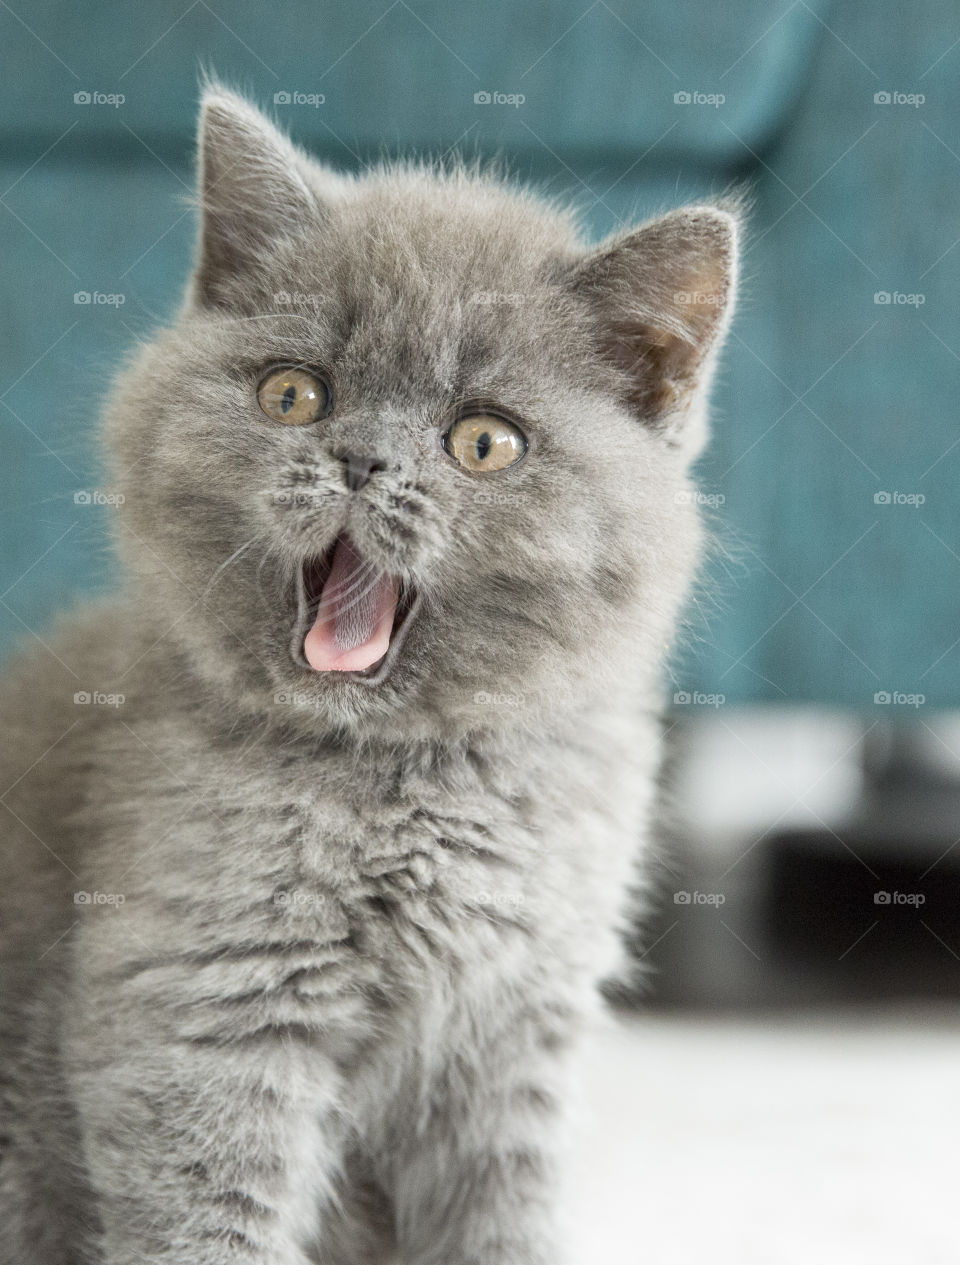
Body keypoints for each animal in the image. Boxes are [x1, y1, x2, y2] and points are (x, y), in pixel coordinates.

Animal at [0, 89, 743, 1265]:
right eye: (293, 394)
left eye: (484, 443)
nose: (358, 460)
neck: (405, 775)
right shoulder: (204, 1007)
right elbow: (208, 1220)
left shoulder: (512, 1029)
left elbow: (499, 1219)